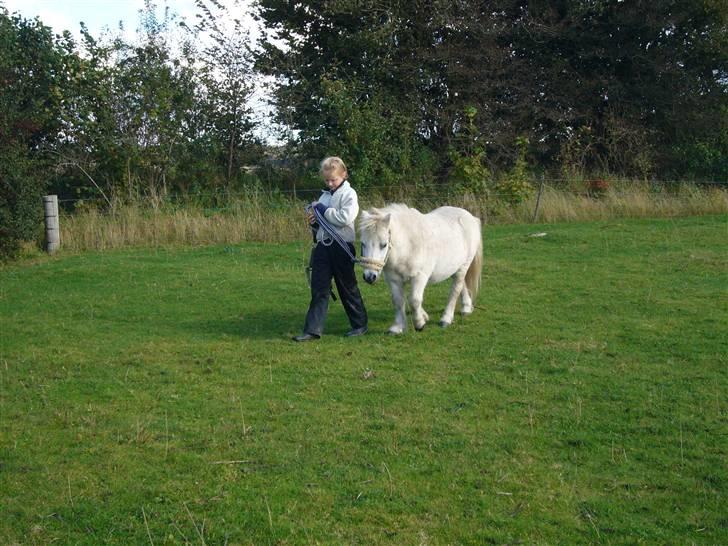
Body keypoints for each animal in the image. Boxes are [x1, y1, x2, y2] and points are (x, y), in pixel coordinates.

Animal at [360, 203, 484, 332]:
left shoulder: (419, 277)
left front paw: (419, 323)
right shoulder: (393, 280)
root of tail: (470, 217)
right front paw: (398, 327)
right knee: (462, 285)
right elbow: (398, 300)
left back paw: (446, 319)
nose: (369, 277)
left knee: (455, 289)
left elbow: (414, 300)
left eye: (384, 245)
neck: (408, 246)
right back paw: (466, 307)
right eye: (362, 243)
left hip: (463, 267)